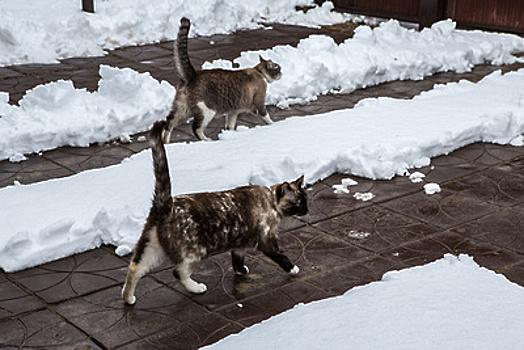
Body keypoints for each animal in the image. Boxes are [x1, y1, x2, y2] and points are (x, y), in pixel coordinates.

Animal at [123, 120, 310, 304]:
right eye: (299, 203)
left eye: (306, 200)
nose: (307, 210)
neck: (271, 200)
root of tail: (166, 204)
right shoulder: (267, 241)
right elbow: (281, 256)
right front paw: (293, 268)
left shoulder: (239, 244)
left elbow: (237, 261)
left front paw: (241, 271)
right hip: (194, 253)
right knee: (177, 272)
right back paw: (197, 288)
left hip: (151, 250)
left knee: (135, 268)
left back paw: (128, 298)